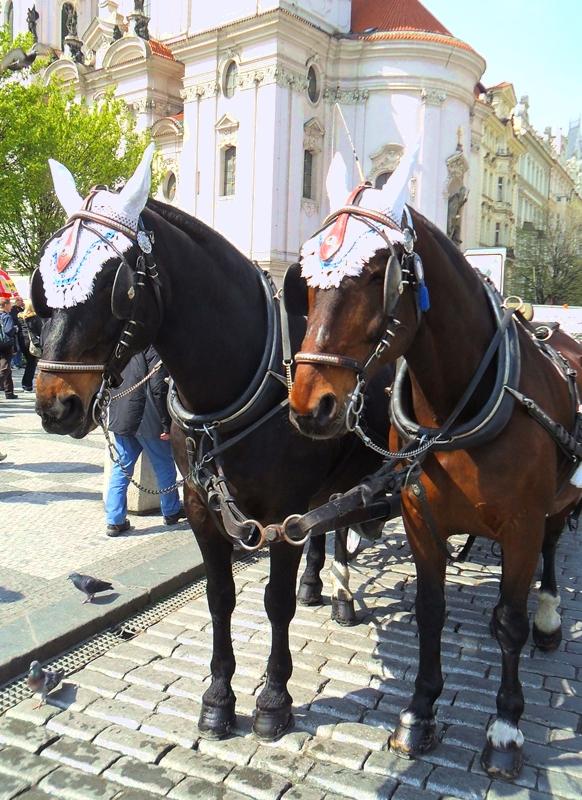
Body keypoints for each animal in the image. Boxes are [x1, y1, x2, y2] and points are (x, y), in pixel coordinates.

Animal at [34, 148, 394, 744]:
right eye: (42, 284)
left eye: (115, 283)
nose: (52, 403)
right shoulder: (203, 506)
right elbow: (221, 598)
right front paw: (219, 698)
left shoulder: (283, 511)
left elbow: (273, 603)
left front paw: (273, 698)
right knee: (331, 525)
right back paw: (319, 582)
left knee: (345, 524)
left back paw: (342, 593)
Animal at [288, 155, 582, 776]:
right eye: (306, 275)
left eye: (378, 273)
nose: (309, 404)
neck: (458, 408)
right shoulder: (420, 519)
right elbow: (429, 611)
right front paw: (419, 711)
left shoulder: (520, 525)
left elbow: (509, 620)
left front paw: (505, 727)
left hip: (559, 500)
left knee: (550, 548)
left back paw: (548, 617)